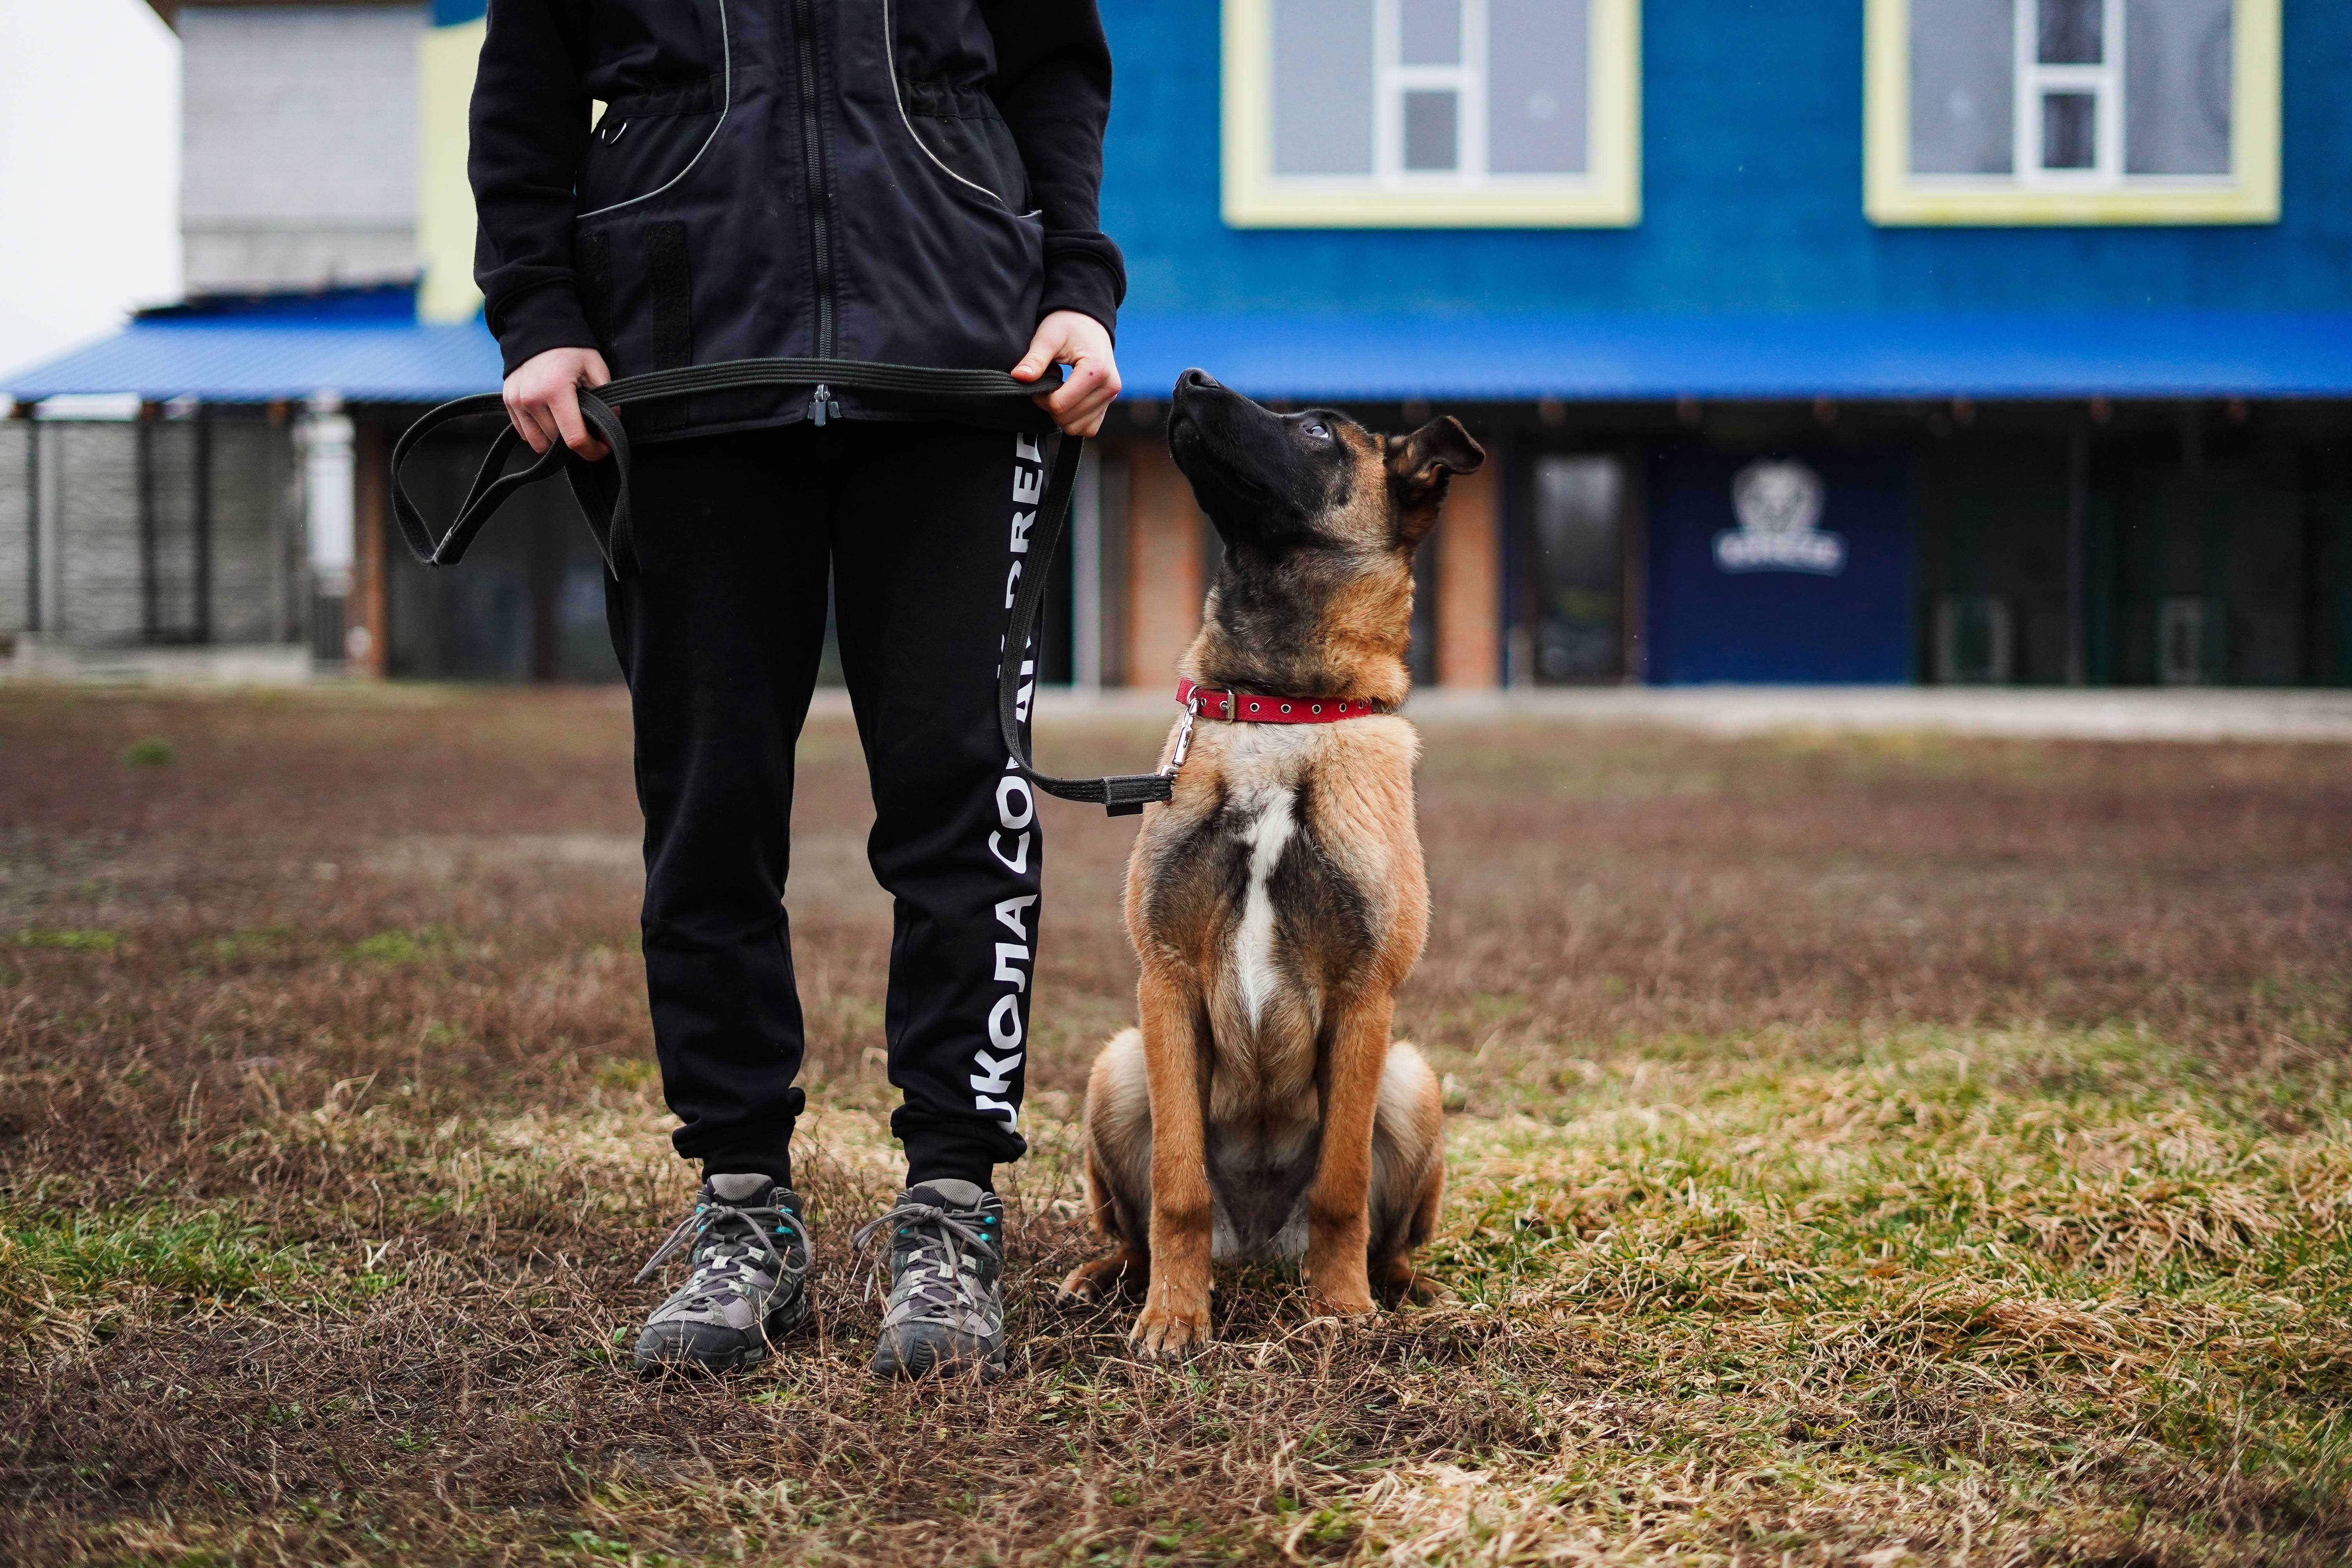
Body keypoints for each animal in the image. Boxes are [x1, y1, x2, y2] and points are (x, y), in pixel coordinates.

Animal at [1058, 371, 1477, 1363]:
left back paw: (1408, 1291)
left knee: (1385, 1234)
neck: (1279, 710)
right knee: (1136, 1225)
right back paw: (1110, 1278)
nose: (1188, 379)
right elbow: (1176, 1190)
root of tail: (1251, 1245)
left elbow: (1339, 1189)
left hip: (1411, 1079)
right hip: (1119, 1065)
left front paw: (1344, 1309)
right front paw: (1174, 1316)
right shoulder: (1166, 985)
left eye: (1321, 430)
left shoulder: (1365, 1000)